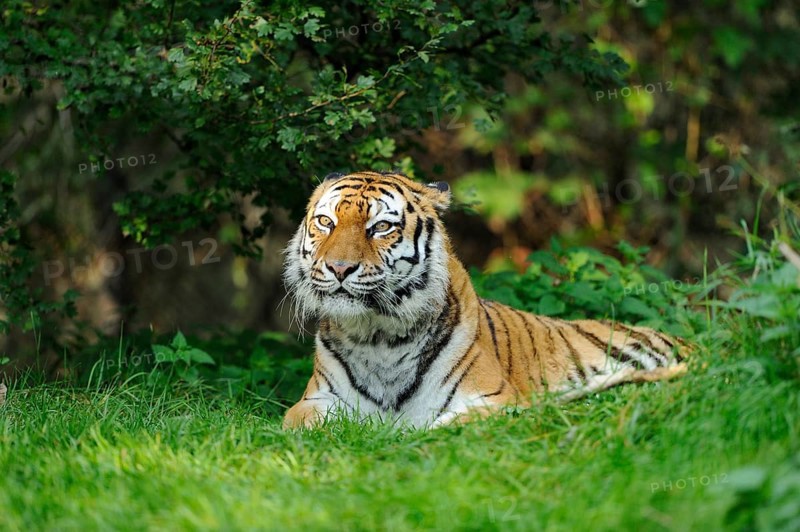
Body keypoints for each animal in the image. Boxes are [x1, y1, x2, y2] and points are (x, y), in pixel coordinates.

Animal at [282, 170, 688, 429]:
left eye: (381, 227)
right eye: (326, 222)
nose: (339, 268)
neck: (378, 335)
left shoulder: (494, 400)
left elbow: (443, 426)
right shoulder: (314, 401)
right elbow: (302, 422)